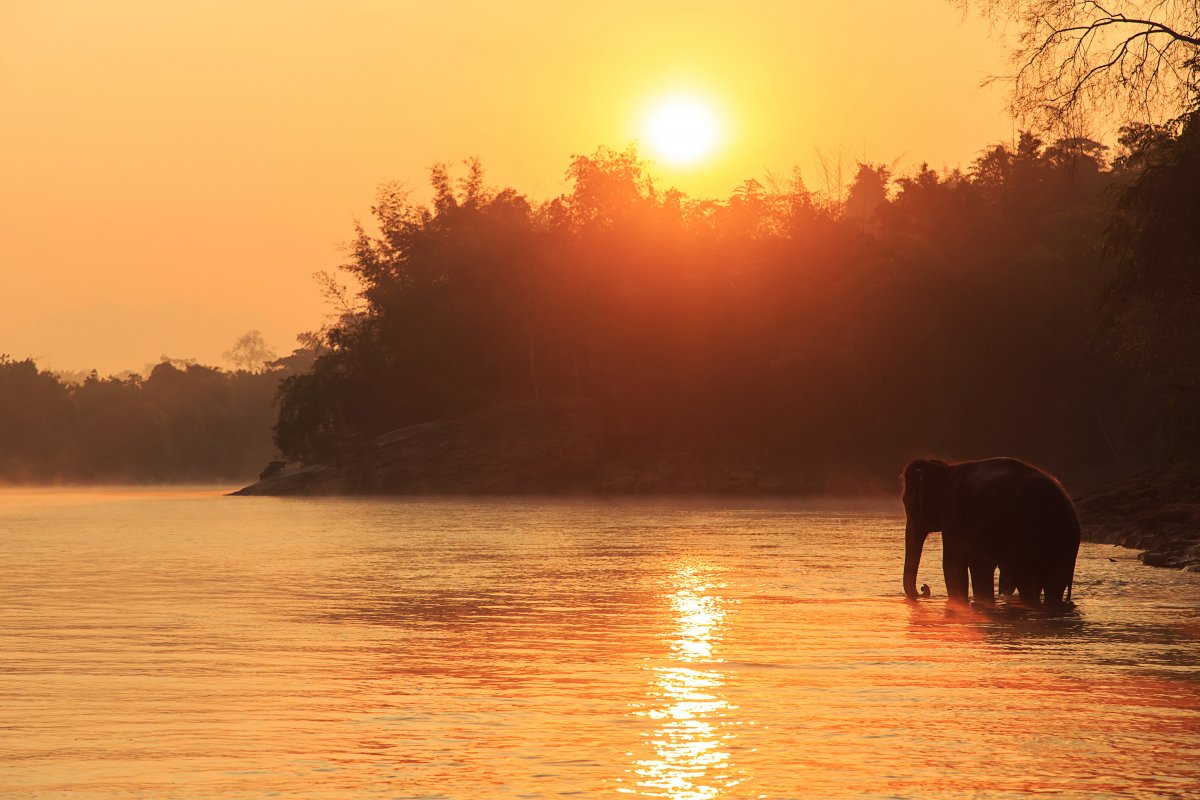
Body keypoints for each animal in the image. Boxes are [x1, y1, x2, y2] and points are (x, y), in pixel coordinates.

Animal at [901, 457, 1081, 607]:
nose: (924, 588)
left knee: (1028, 582)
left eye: (909, 506)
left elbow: (954, 563)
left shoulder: (953, 512)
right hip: (1065, 545)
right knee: (1054, 585)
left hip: (1027, 537)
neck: (945, 470)